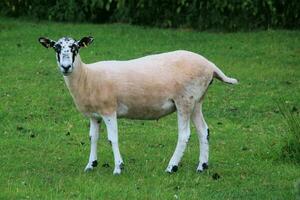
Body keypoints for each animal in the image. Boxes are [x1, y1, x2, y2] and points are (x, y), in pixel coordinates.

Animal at [38, 36, 238, 175]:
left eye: (76, 47)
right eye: (56, 47)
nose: (66, 67)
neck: (87, 76)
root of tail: (210, 65)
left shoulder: (109, 110)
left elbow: (112, 138)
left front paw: (118, 168)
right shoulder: (94, 115)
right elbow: (93, 138)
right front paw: (90, 165)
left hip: (185, 100)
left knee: (184, 135)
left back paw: (171, 167)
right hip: (197, 100)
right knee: (204, 131)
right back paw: (202, 166)